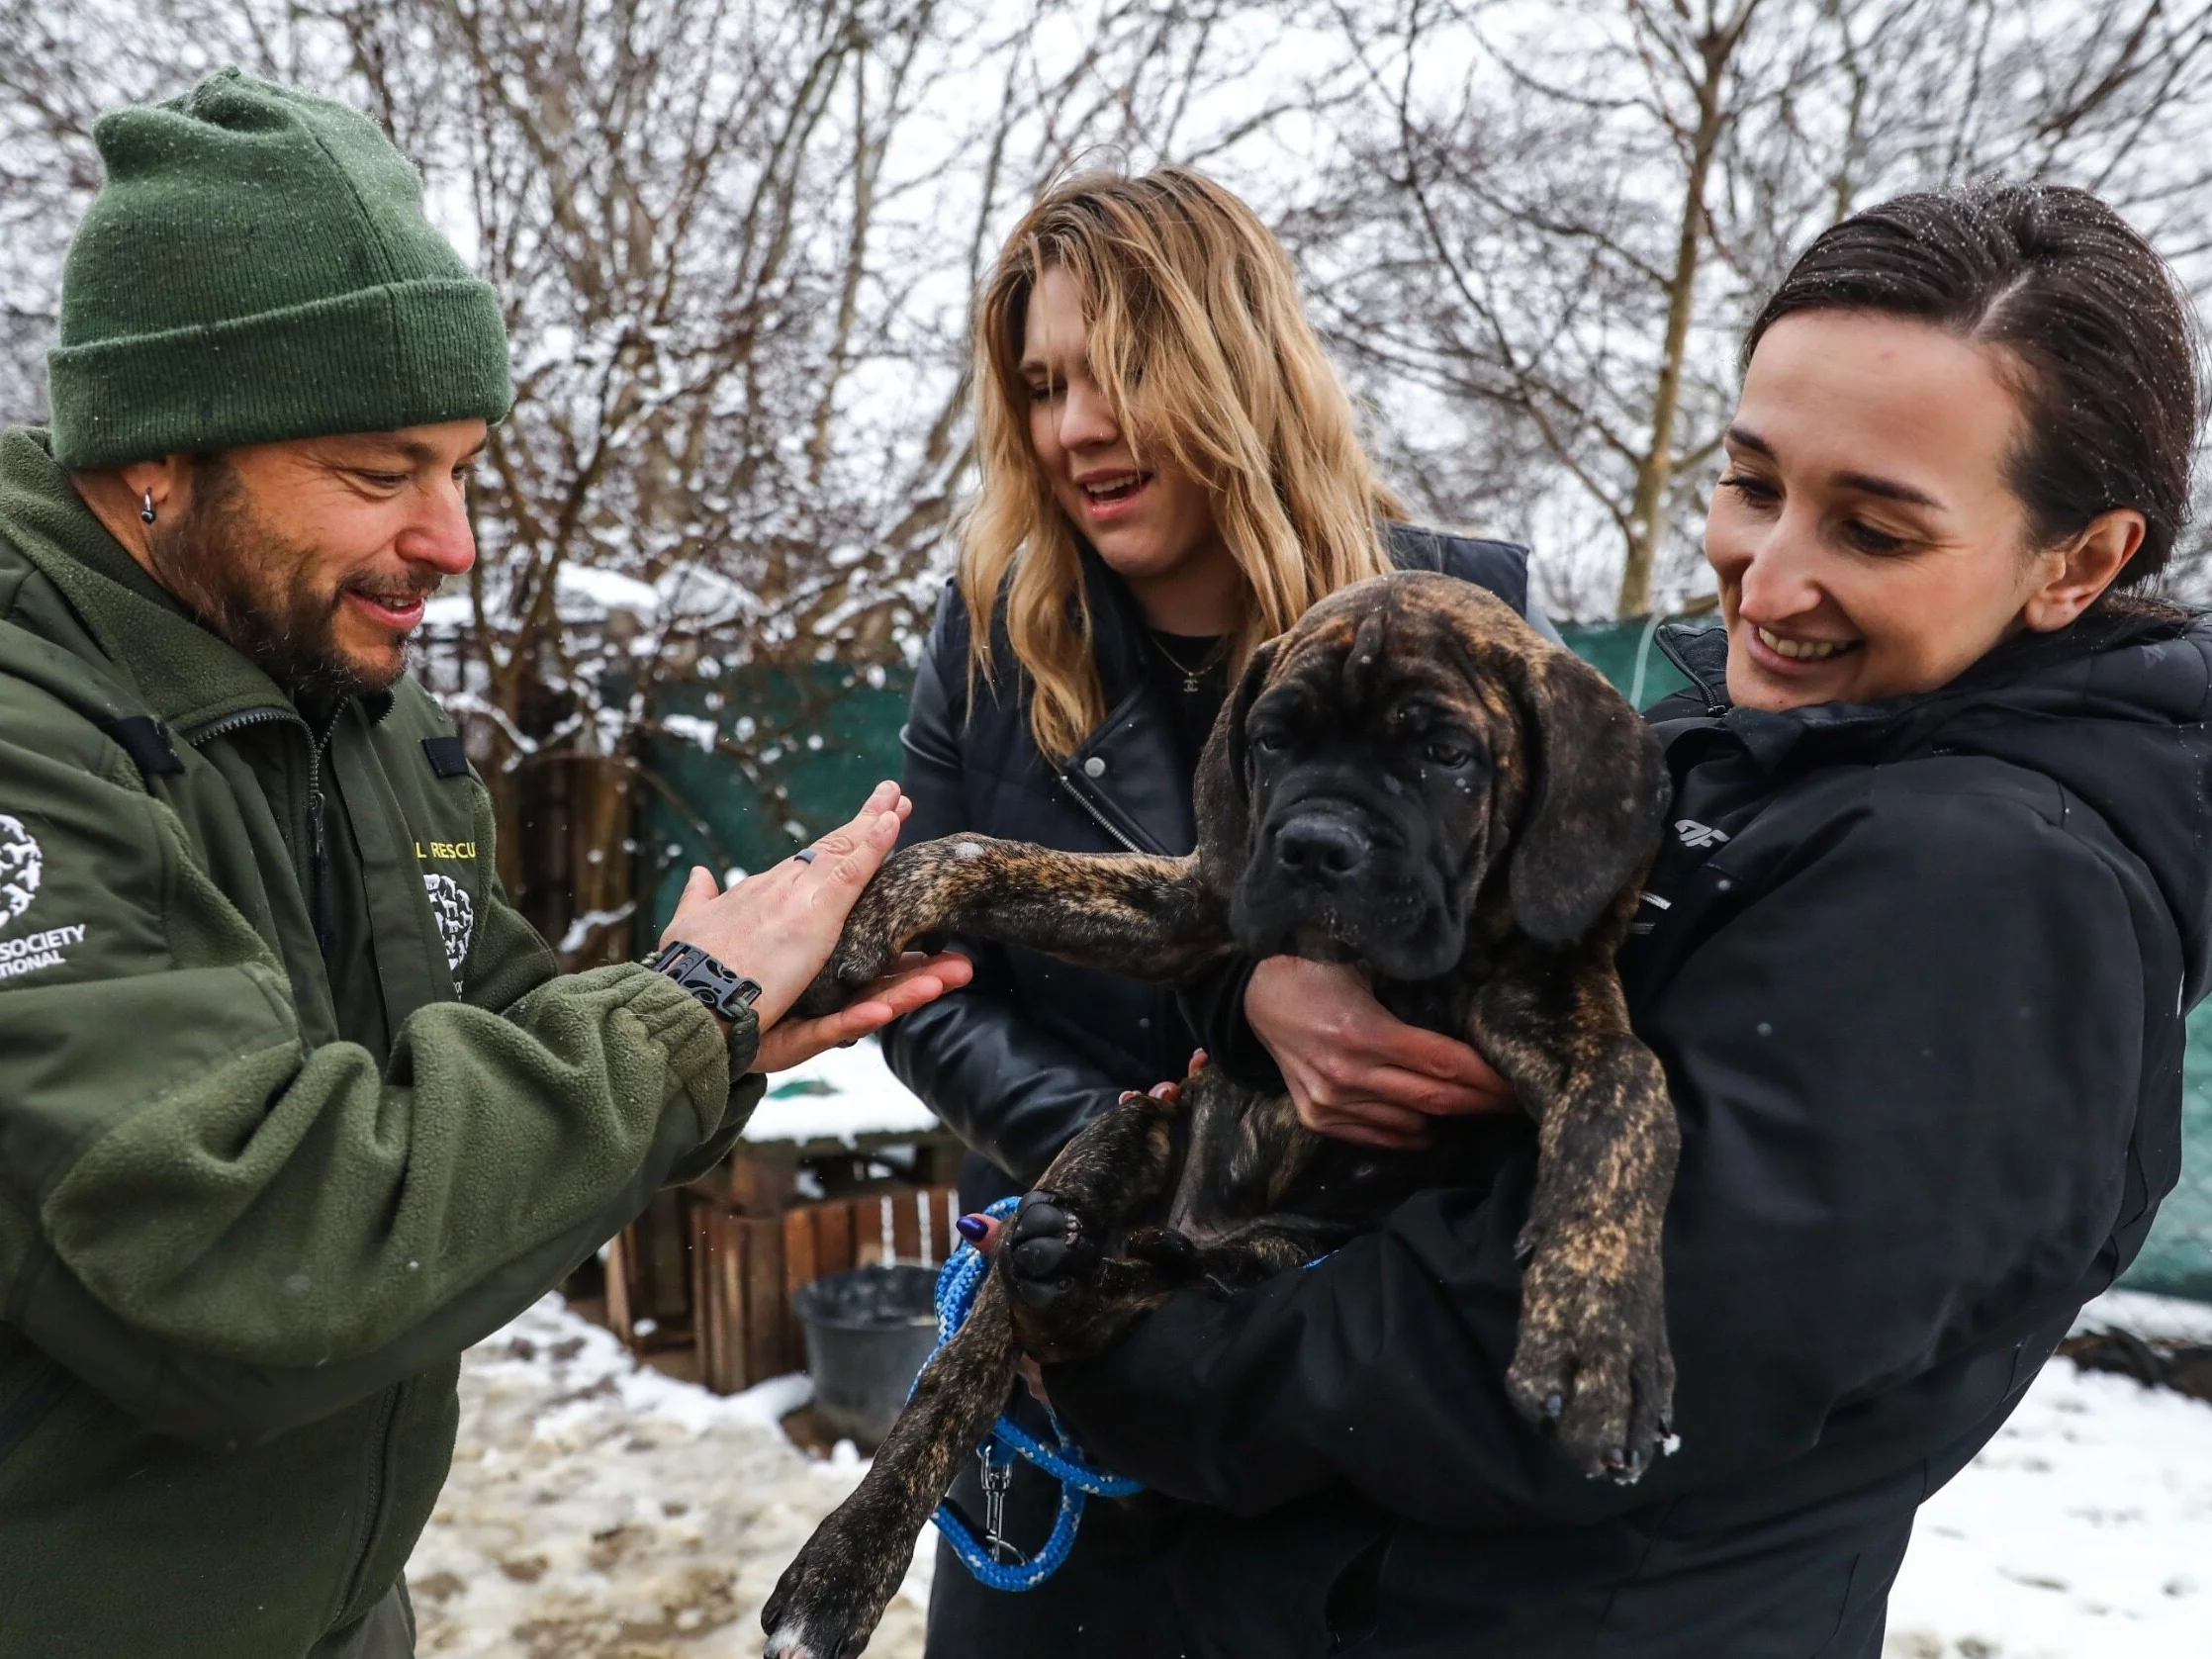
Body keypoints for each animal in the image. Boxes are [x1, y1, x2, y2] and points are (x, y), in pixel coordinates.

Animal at [761, 575, 1672, 1659]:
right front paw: (858, 918)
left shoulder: (1560, 1007)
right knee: (970, 1358)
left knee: (1181, 1287)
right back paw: (845, 1559)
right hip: (1128, 1133)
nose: (1315, 846)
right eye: (1272, 741)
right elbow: (987, 852)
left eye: (1445, 753)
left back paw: (1102, 1271)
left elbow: (1625, 1100)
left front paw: (1596, 1340)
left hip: (1289, 1245)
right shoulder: (1191, 902)